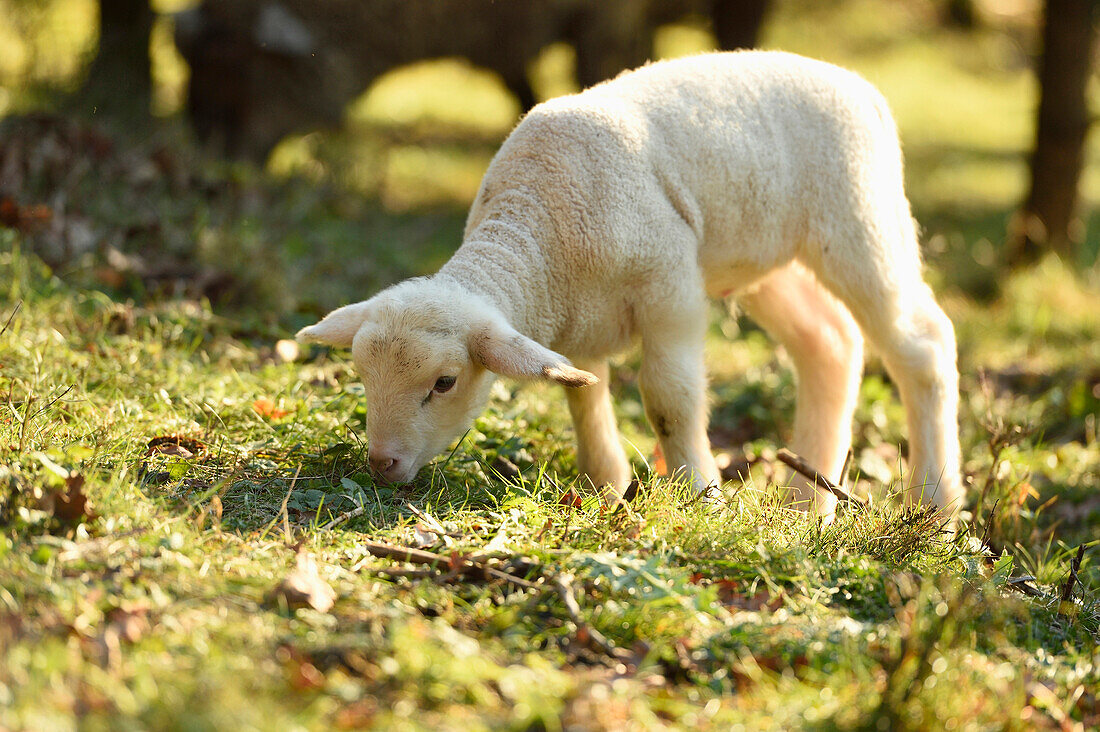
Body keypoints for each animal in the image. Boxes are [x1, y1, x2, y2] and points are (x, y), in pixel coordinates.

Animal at [301, 51, 963, 519]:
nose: (382, 463)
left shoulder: (670, 285)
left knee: (923, 344)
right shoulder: (574, 320)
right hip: (764, 260)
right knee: (828, 344)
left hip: (860, 218)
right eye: (361, 374)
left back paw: (935, 505)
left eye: (444, 382)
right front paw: (606, 484)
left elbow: (670, 398)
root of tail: (860, 87)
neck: (536, 223)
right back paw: (808, 505)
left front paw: (698, 494)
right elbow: (582, 391)